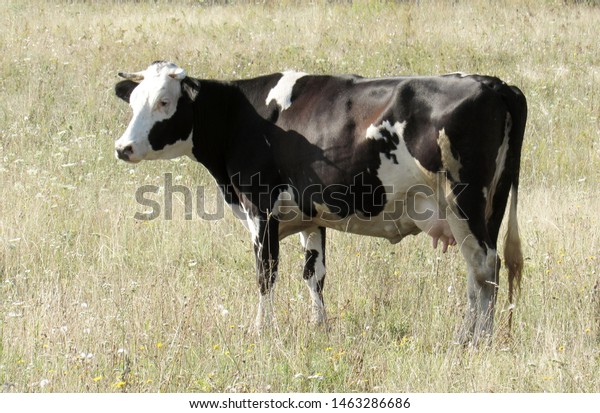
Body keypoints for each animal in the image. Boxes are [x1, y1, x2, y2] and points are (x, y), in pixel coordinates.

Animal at [112, 60, 524, 344]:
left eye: (164, 102)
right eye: (133, 103)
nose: (122, 147)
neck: (240, 117)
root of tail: (493, 83)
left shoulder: (261, 211)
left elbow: (265, 274)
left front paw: (261, 330)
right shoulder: (309, 217)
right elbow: (314, 274)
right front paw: (318, 326)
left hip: (464, 202)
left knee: (483, 267)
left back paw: (475, 340)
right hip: (490, 207)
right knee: (481, 271)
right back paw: (471, 335)